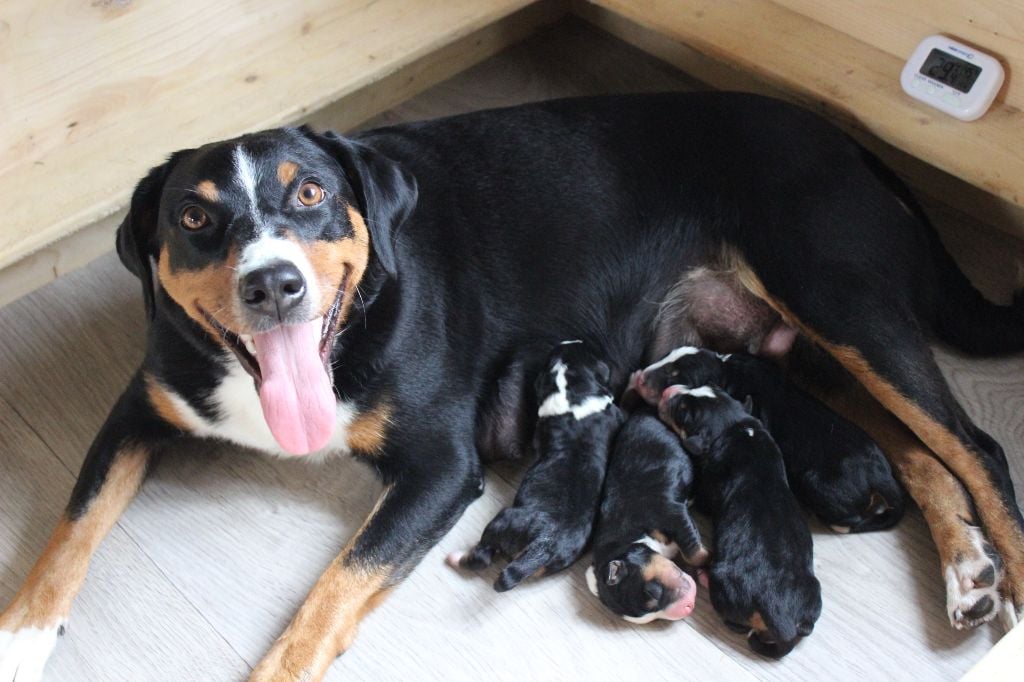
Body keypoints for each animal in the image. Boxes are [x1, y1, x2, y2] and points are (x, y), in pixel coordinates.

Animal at [448, 340, 622, 591]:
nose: (568, 340)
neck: (576, 392)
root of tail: (544, 547)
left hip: (504, 520)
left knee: (482, 556)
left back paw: (457, 558)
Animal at [632, 347, 906, 533]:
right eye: (667, 355)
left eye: (675, 375)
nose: (640, 377)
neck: (725, 370)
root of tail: (880, 474)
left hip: (819, 485)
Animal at [659, 384, 822, 658]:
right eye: (710, 386)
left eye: (682, 411)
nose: (669, 389)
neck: (735, 427)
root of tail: (782, 621)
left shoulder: (709, 487)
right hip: (813, 595)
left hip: (726, 588)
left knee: (734, 623)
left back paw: (704, 579)